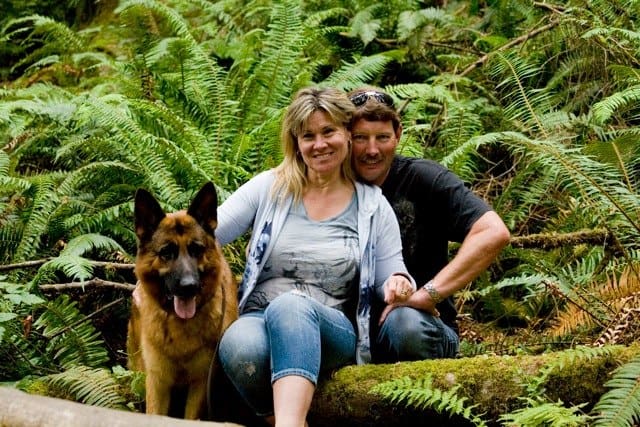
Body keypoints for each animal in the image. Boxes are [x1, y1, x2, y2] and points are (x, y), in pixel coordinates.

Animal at [127, 182, 238, 420]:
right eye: (166, 252)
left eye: (196, 249)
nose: (189, 286)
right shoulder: (157, 382)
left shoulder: (200, 384)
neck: (180, 327)